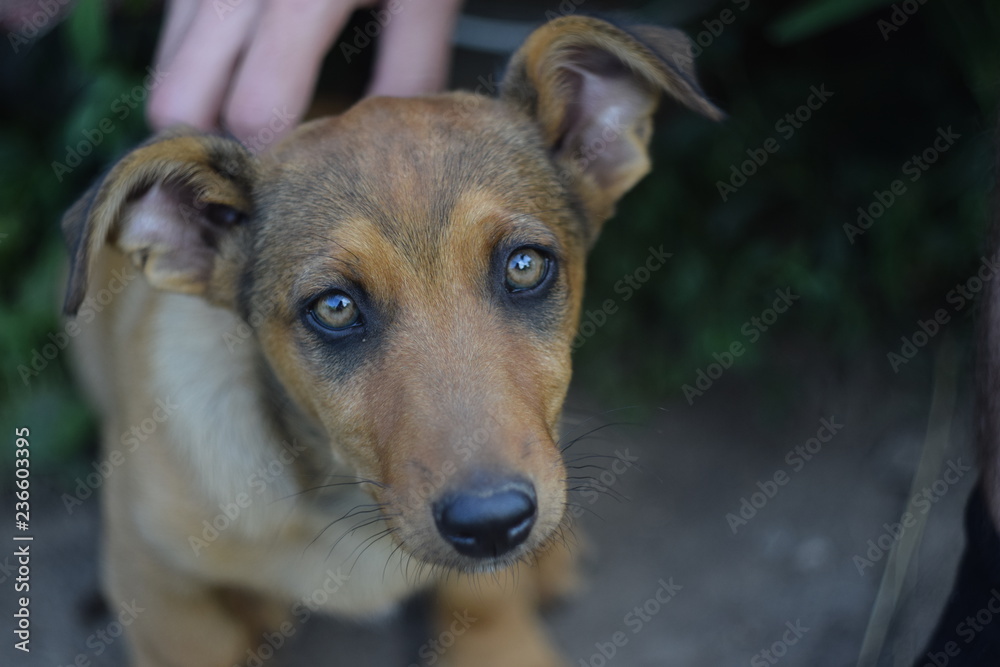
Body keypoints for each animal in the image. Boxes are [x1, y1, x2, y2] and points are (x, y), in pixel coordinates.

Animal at [60, 15, 720, 667]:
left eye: (525, 266)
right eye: (334, 307)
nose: (492, 525)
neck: (350, 510)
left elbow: (486, 613)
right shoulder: (153, 586)